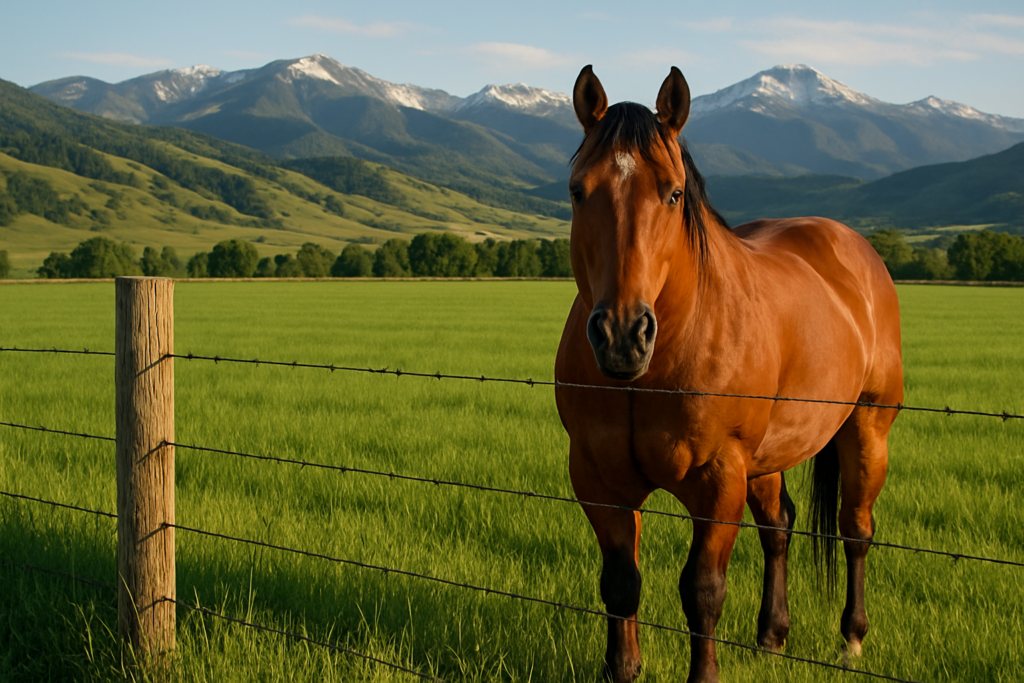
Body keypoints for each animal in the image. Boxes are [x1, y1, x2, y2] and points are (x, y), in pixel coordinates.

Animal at [554, 65, 903, 683]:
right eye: (577, 190)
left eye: (672, 193)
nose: (623, 334)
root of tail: (852, 247)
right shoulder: (599, 481)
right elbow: (621, 585)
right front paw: (625, 665)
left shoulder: (720, 479)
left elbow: (703, 592)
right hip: (768, 457)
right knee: (779, 527)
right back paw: (772, 636)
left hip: (867, 430)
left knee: (856, 529)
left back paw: (852, 640)